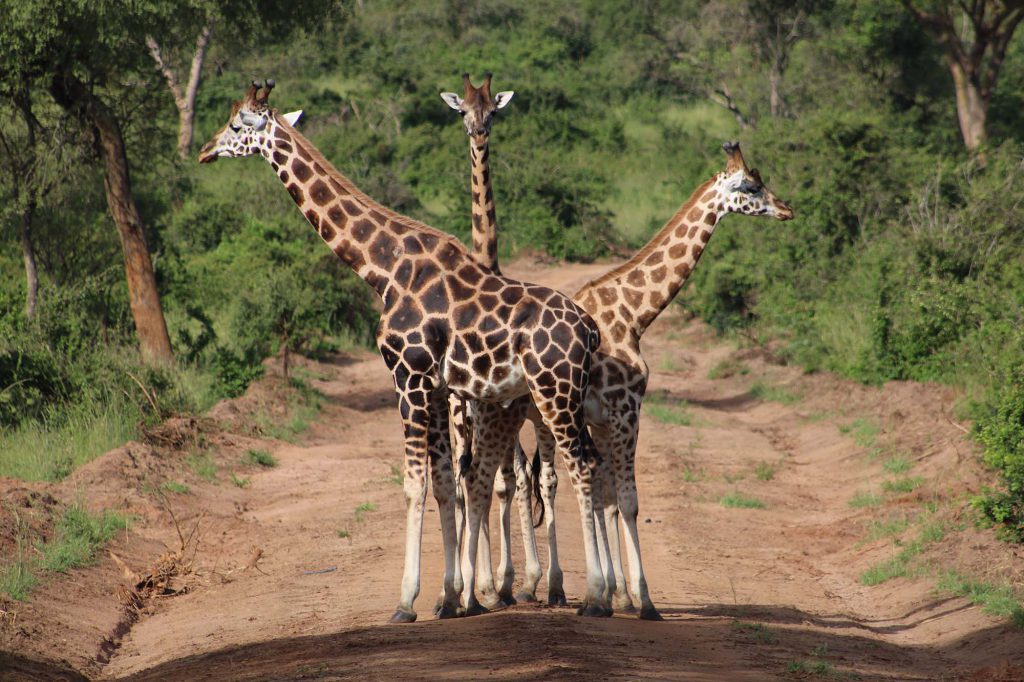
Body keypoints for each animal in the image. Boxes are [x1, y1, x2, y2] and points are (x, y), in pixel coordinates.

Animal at [198, 80, 612, 622]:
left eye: (237, 125)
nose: (204, 151)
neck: (382, 268)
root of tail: (589, 329)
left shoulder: (408, 377)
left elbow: (415, 483)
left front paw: (408, 600)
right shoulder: (436, 387)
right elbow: (444, 480)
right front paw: (452, 597)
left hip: (553, 392)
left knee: (577, 467)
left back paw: (597, 596)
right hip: (563, 396)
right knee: (584, 465)